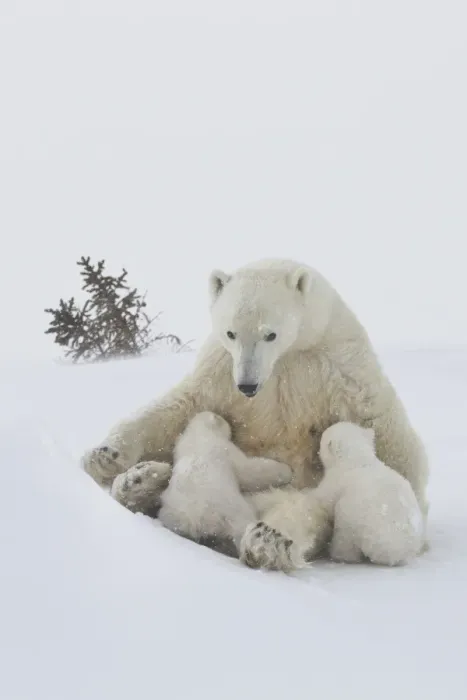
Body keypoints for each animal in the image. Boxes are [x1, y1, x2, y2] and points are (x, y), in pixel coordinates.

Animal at [157, 410, 297, 562]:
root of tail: (195, 522)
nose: (228, 421)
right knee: (242, 525)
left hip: (171, 515)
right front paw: (286, 471)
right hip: (230, 511)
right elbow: (248, 470)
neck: (198, 435)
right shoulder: (225, 449)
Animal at [314, 421, 424, 566]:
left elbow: (324, 499)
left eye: (323, 437)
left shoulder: (338, 480)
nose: (316, 449)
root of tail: (396, 553)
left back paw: (339, 555)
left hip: (356, 520)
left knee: (345, 539)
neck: (358, 460)